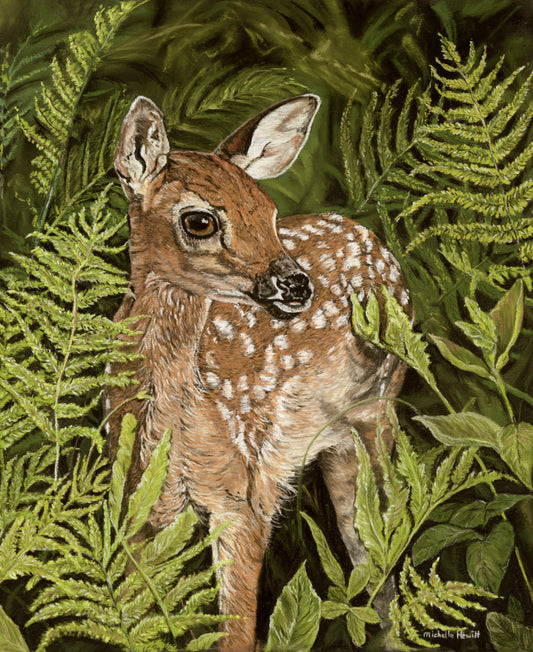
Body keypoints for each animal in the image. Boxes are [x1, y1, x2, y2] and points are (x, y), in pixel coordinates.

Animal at [107, 93, 411, 649]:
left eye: (269, 213)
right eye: (200, 221)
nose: (296, 284)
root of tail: (369, 236)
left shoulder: (242, 497)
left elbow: (238, 632)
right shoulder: (139, 505)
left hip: (377, 413)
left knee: (381, 553)